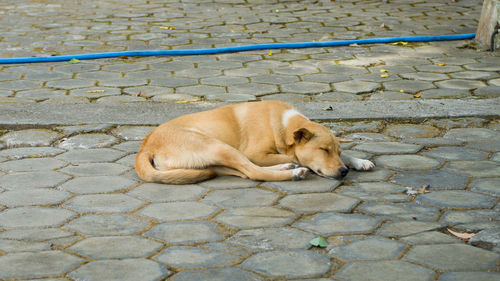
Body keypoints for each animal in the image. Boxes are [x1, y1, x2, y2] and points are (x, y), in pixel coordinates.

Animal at [135, 100, 374, 184]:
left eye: (336, 151)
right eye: (323, 150)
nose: (344, 172)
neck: (281, 123)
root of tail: (145, 146)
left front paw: (359, 161)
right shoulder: (255, 153)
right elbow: (295, 156)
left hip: (215, 161)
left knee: (245, 172)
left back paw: (286, 168)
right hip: (218, 146)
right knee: (253, 172)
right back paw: (293, 172)